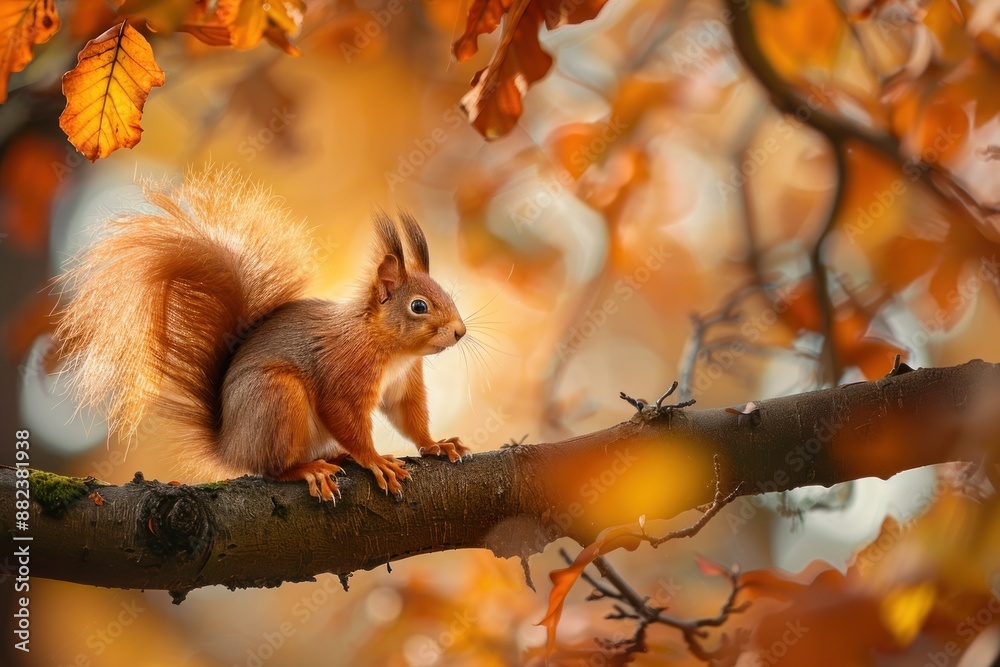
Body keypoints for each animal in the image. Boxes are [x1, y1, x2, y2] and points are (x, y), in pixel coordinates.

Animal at [54, 168, 470, 501]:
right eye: (419, 306)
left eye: (448, 295)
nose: (460, 332)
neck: (392, 350)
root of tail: (231, 446)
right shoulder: (343, 372)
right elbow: (346, 418)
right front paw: (374, 460)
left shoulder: (404, 383)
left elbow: (408, 417)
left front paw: (435, 444)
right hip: (277, 397)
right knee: (273, 468)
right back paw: (309, 469)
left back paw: (333, 456)